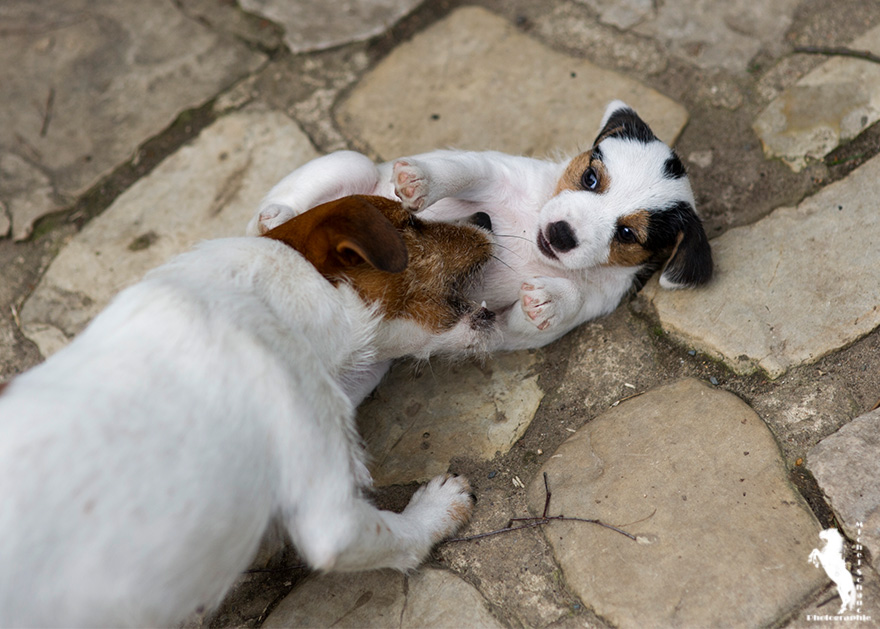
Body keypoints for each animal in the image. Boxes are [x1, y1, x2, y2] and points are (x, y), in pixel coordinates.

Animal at [0, 196, 496, 628]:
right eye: (411, 222)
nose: (486, 216)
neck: (273, 302)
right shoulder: (331, 516)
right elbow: (398, 535)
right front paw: (439, 507)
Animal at [249, 100, 716, 350]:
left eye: (627, 234)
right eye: (590, 178)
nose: (561, 234)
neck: (529, 225)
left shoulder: (514, 327)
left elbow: (560, 304)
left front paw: (550, 298)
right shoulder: (493, 171)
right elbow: (462, 169)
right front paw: (421, 180)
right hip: (351, 163)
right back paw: (276, 215)